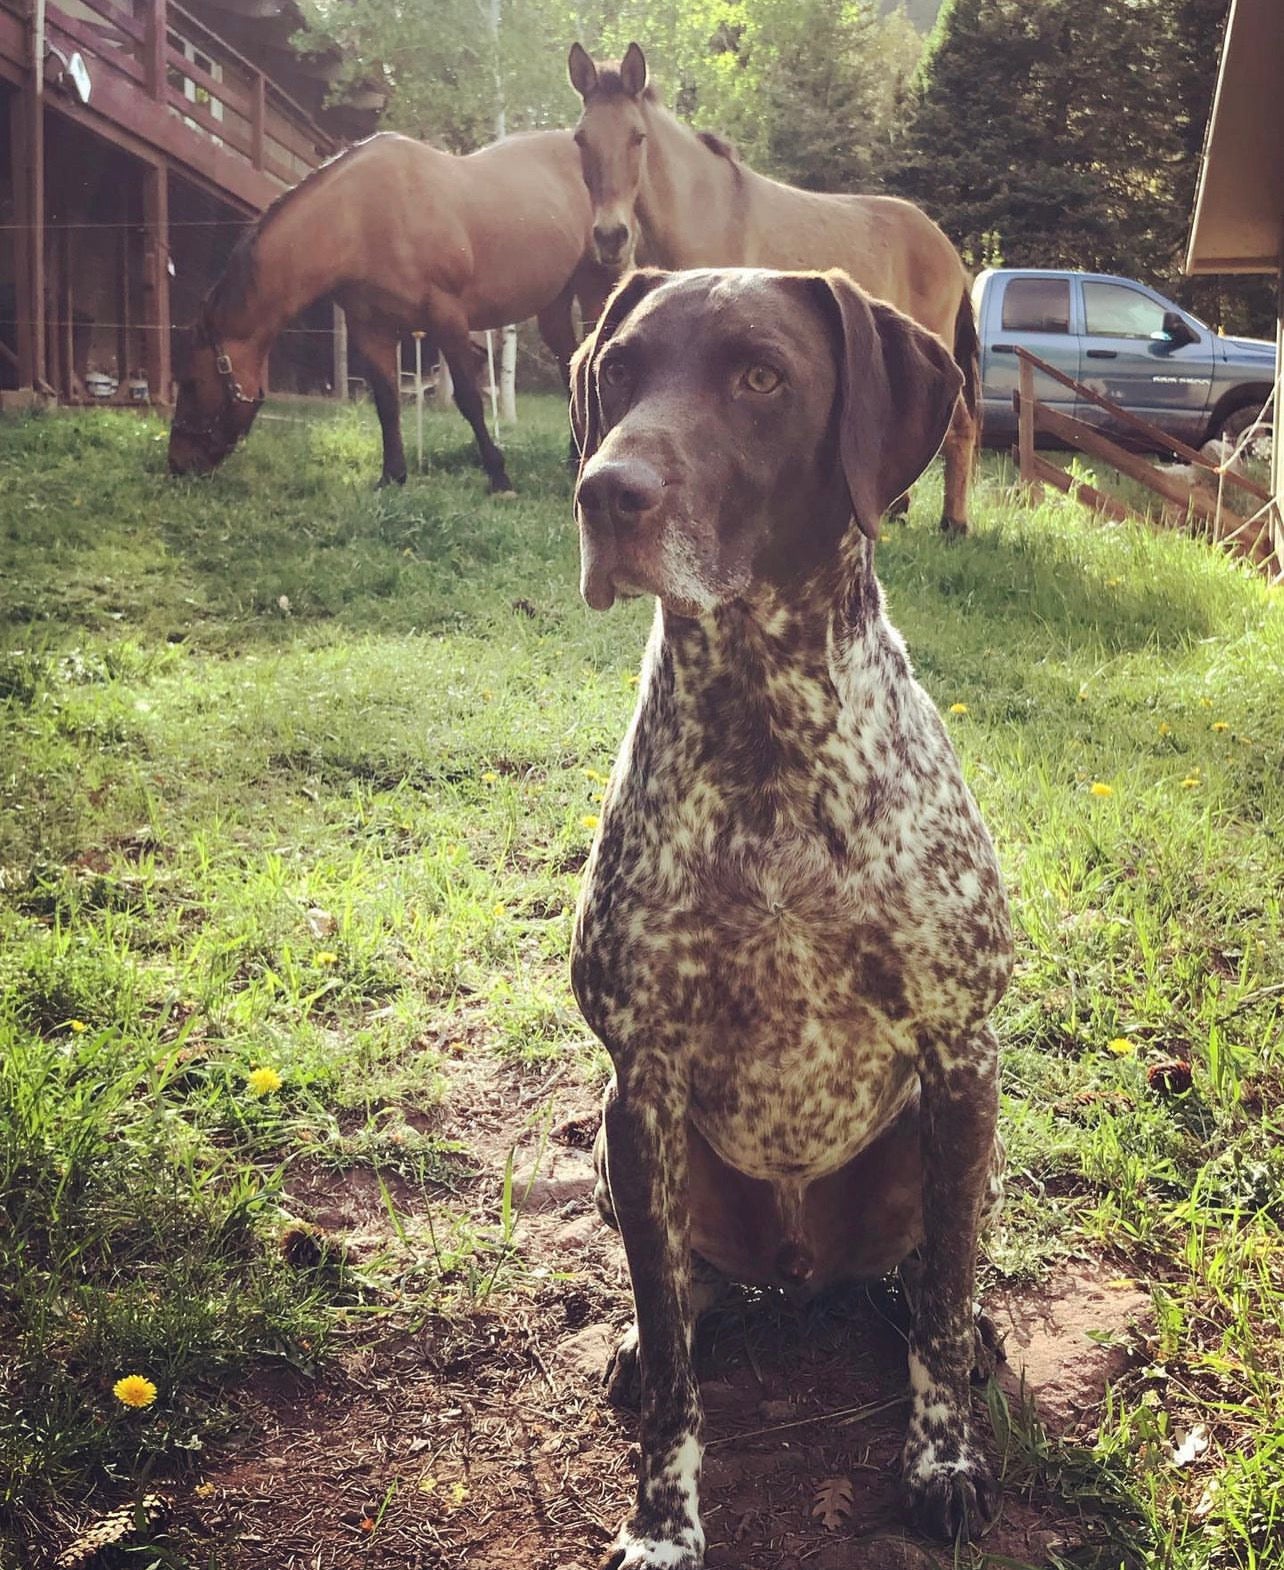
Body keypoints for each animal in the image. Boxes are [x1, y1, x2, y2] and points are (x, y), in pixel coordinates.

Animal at [167, 130, 609, 489]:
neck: (363, 216)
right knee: (570, 365)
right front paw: (392, 476)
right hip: (553, 302)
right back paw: (574, 459)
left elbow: (468, 399)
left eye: (190, 382)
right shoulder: (372, 331)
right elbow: (387, 402)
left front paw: (498, 476)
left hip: (592, 288)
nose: (178, 464)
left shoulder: (448, 318)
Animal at [565, 42, 973, 533]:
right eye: (581, 139)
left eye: (637, 137)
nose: (610, 237)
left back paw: (956, 522)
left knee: (962, 428)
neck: (705, 212)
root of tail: (947, 247)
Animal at [571, 263, 1010, 1563]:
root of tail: (800, 1274)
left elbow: (946, 1307)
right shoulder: (644, 1078)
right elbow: (675, 1371)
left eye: (761, 377)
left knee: (929, 1289)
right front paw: (663, 1524)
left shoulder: (961, 1053)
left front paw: (942, 1458)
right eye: (621, 369)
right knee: (685, 1300)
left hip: (932, 1143)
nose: (606, 492)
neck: (765, 725)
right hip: (623, 1151)